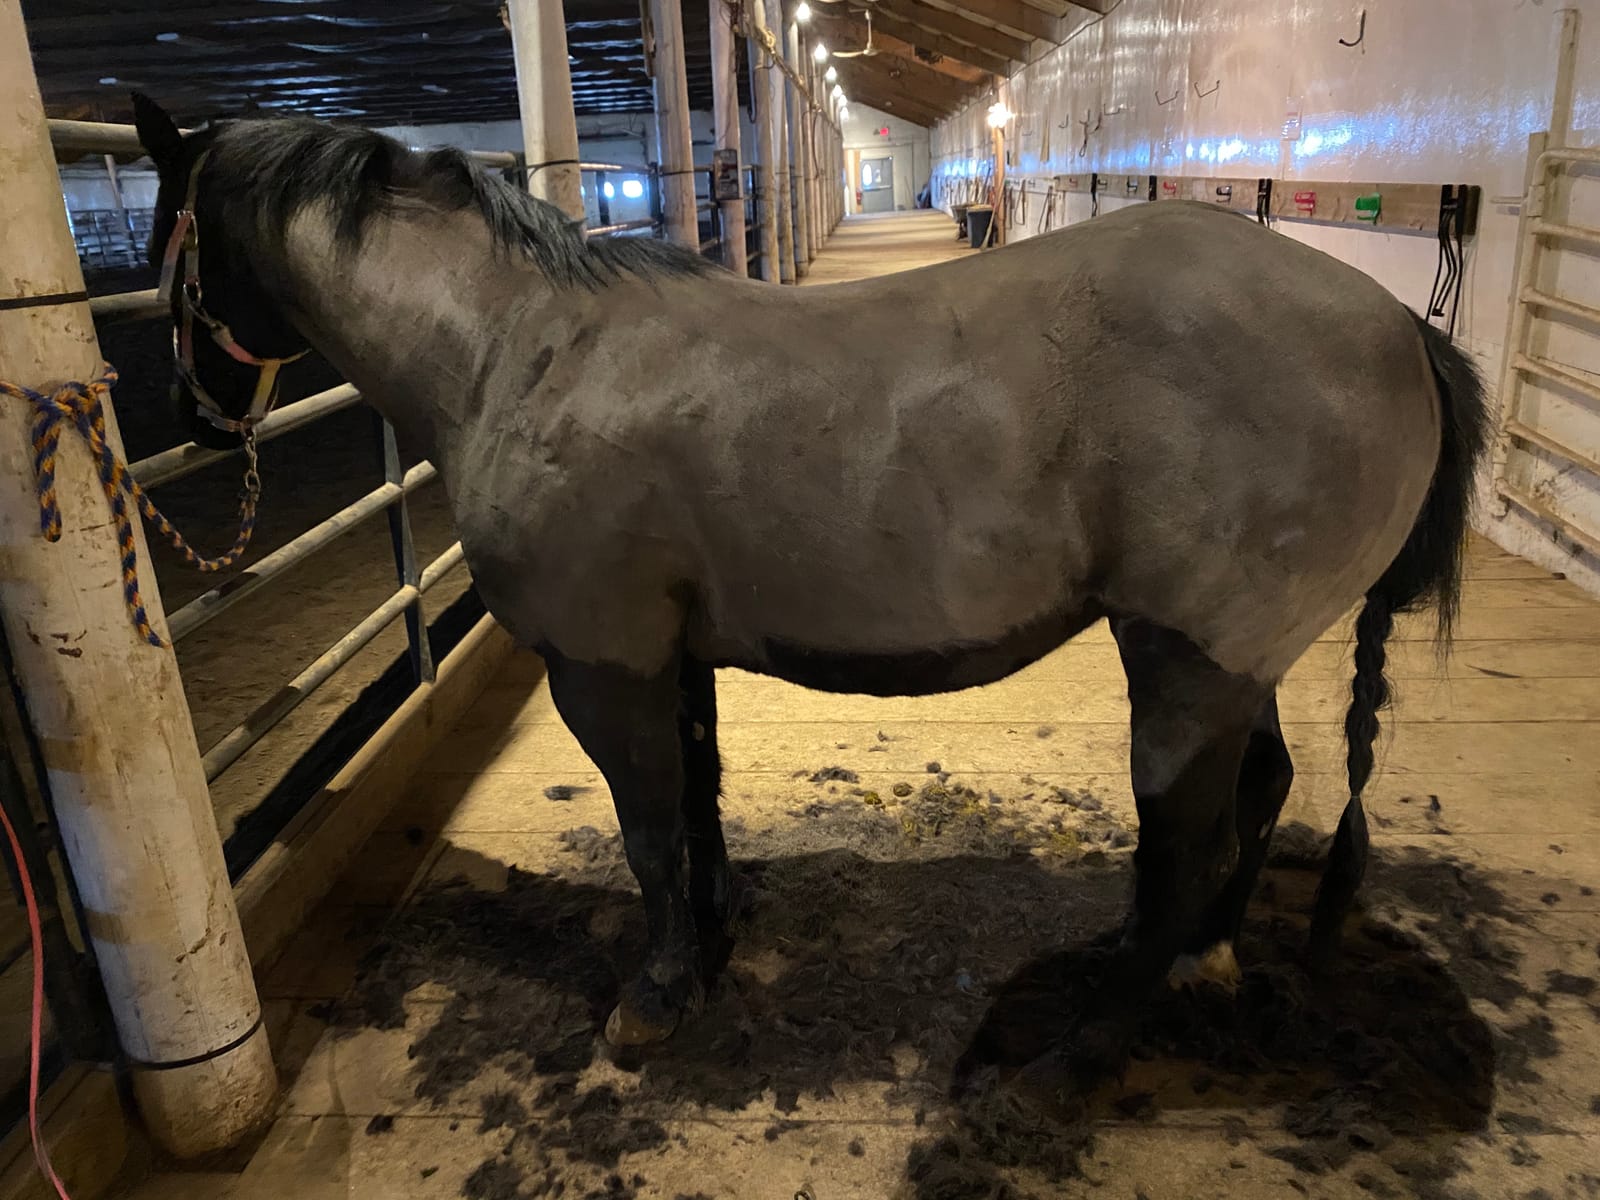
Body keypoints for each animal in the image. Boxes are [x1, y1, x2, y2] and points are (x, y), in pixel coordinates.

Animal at [131, 95, 1489, 1075]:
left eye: (162, 254)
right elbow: (696, 805)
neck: (521, 352)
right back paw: (1200, 959)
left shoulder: (602, 665)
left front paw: (655, 998)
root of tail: (1395, 327)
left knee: (1188, 838)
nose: (189, 419)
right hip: (1229, 661)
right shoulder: (669, 656)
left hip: (1186, 665)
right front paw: (714, 940)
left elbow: (650, 830)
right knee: (1259, 795)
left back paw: (1095, 1039)